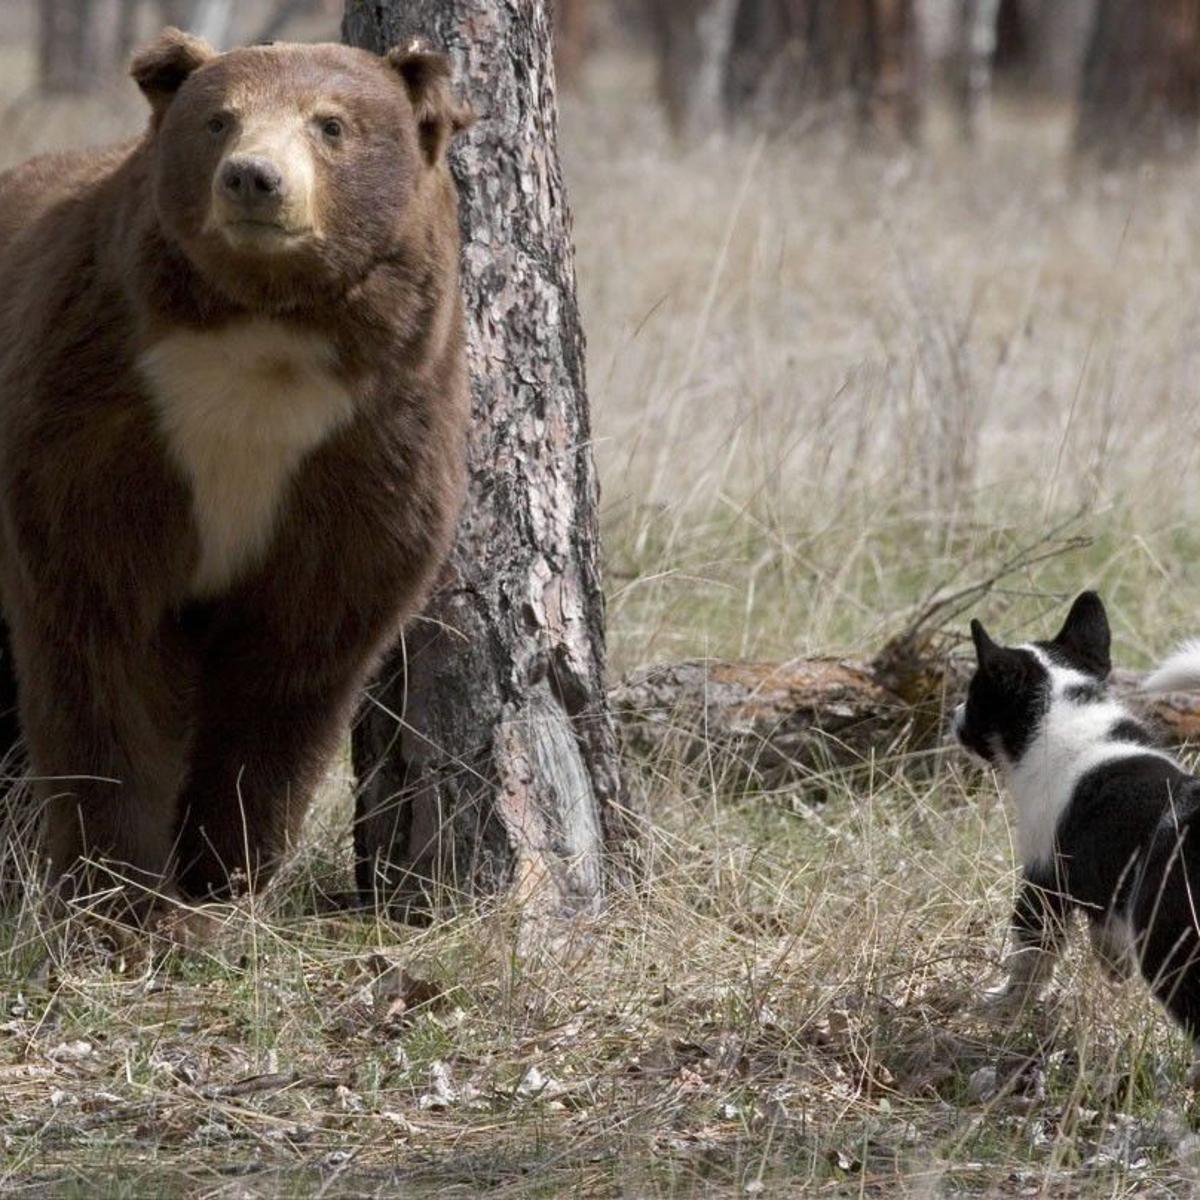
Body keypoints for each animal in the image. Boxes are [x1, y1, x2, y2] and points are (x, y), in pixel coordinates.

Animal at [0, 30, 472, 926]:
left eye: (331, 123)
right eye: (218, 119)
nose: (254, 179)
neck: (264, 334)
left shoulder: (366, 448)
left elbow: (292, 657)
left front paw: (221, 873)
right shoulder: (102, 412)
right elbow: (102, 634)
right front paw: (120, 891)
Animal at [960, 590, 1200, 1080]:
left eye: (973, 696)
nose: (955, 717)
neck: (1062, 708)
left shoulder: (1041, 881)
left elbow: (1029, 958)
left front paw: (998, 1006)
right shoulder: (1102, 894)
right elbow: (1103, 938)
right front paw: (1113, 975)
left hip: (1171, 951)